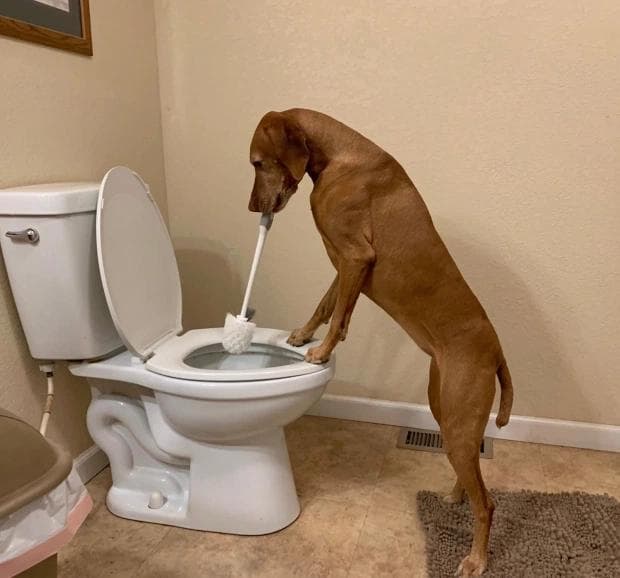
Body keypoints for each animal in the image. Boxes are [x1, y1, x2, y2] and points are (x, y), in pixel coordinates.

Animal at [247, 109, 512, 576]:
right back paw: (455, 497)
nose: (250, 207)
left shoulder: (355, 256)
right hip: (448, 414)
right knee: (471, 479)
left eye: (258, 164)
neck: (337, 156)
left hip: (459, 423)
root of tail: (496, 351)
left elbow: (338, 315)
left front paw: (322, 351)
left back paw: (476, 559)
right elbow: (327, 306)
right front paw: (303, 334)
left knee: (489, 503)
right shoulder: (343, 263)